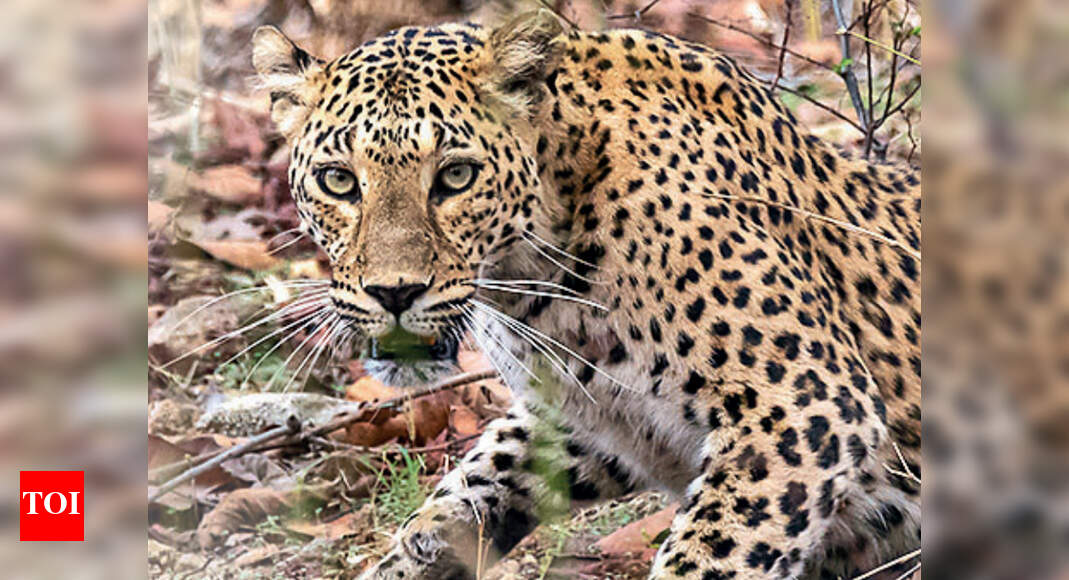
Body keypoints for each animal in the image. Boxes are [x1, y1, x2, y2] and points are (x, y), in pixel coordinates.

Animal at [252, 9, 921, 579]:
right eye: (338, 181)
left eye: (456, 176)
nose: (394, 293)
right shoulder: (589, 414)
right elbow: (478, 478)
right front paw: (415, 551)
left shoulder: (805, 402)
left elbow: (714, 551)